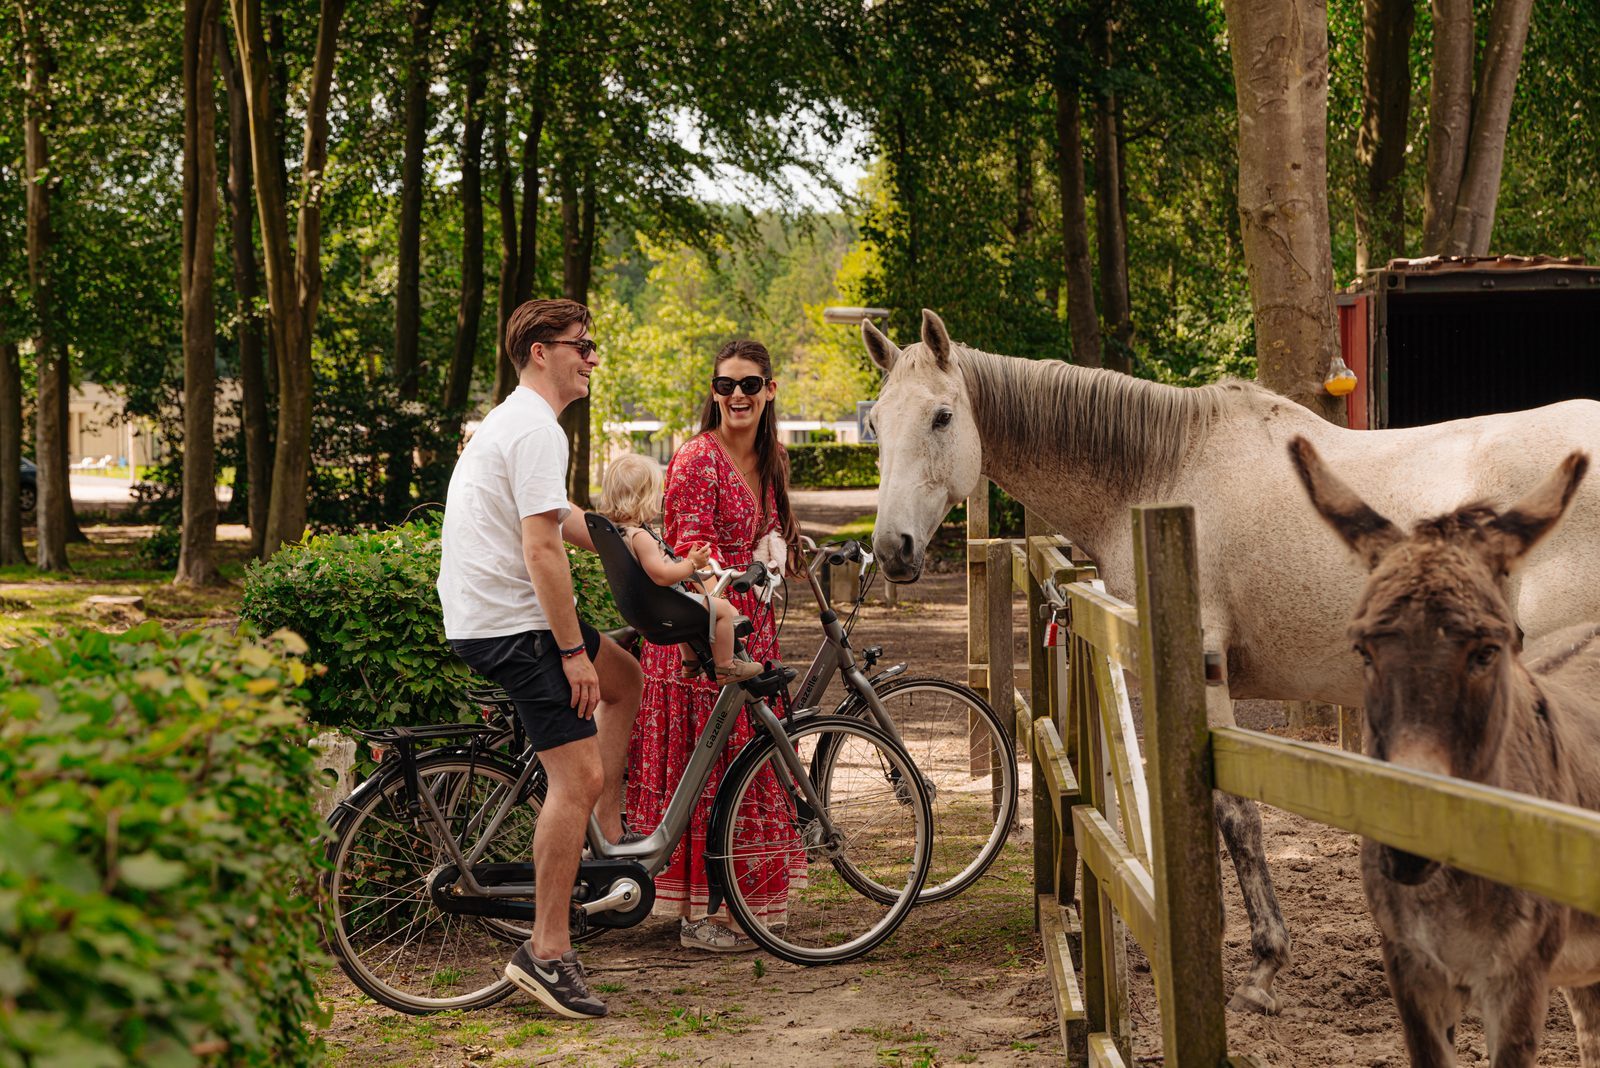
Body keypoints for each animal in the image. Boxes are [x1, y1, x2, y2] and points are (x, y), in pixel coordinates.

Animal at [864, 310, 1600, 1016]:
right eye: (876, 424)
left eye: (941, 416)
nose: (893, 549)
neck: (1162, 473)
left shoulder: (1202, 666)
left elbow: (1235, 816)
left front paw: (1260, 966)